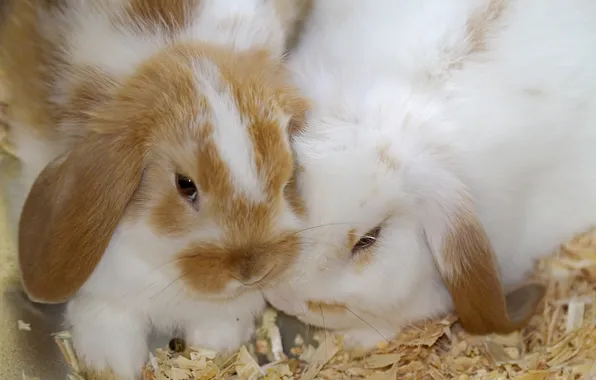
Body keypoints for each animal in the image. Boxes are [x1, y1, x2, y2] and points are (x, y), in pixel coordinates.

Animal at [2, 0, 310, 378]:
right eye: (185, 184)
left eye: (285, 172)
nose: (251, 271)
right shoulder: (106, 290)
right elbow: (111, 327)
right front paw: (112, 365)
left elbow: (218, 328)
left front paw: (215, 345)